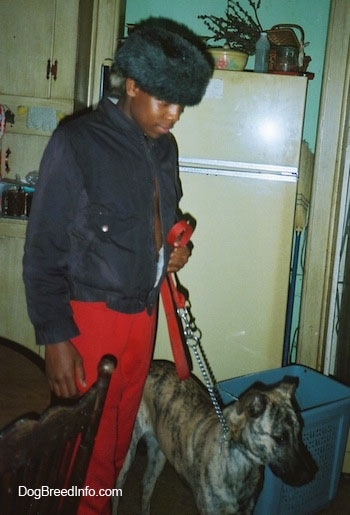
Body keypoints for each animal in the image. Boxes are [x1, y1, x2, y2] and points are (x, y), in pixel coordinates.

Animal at [113, 360, 318, 512]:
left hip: (158, 454)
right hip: (125, 457)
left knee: (146, 486)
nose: (311, 475)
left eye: (299, 431)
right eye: (280, 438)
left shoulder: (247, 508)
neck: (241, 464)